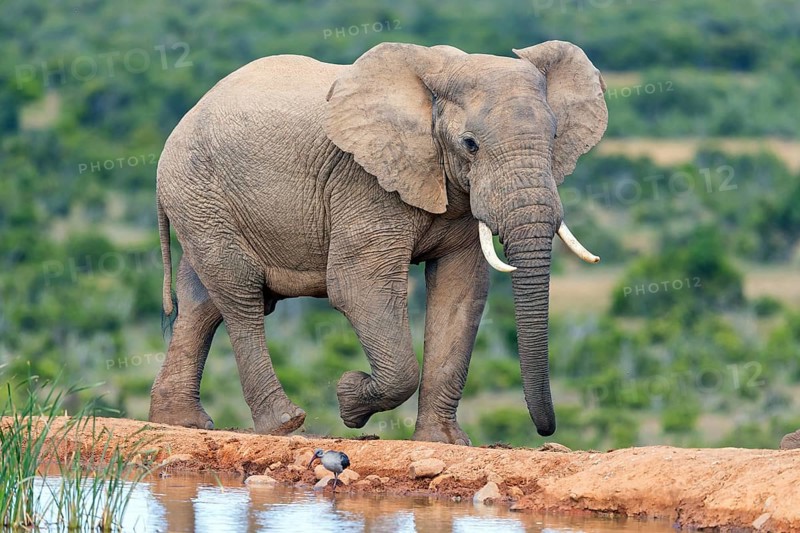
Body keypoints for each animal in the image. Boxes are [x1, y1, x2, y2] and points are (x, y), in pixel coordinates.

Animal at [149, 40, 607, 444]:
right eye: (470, 144)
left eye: (553, 139)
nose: (546, 429)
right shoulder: (363, 180)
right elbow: (358, 287)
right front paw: (349, 398)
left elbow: (460, 292)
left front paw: (443, 442)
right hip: (199, 191)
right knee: (239, 295)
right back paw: (284, 424)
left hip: (200, 204)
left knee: (202, 302)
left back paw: (179, 423)